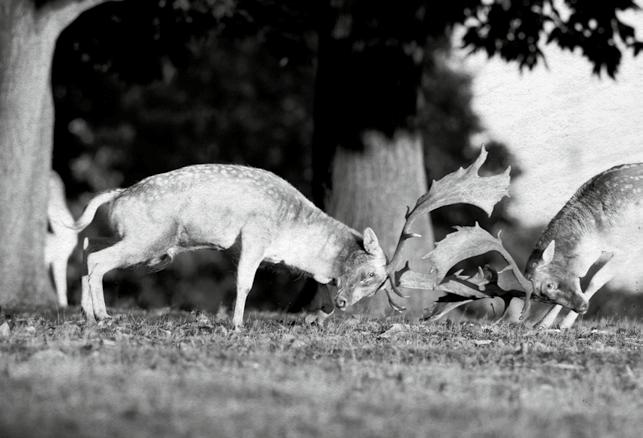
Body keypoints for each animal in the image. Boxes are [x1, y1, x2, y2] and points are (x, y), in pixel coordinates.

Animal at [524, 164, 643, 328]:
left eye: (549, 285)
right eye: (542, 298)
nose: (582, 307)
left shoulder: (629, 246)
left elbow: (596, 279)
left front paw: (565, 324)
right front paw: (543, 324)